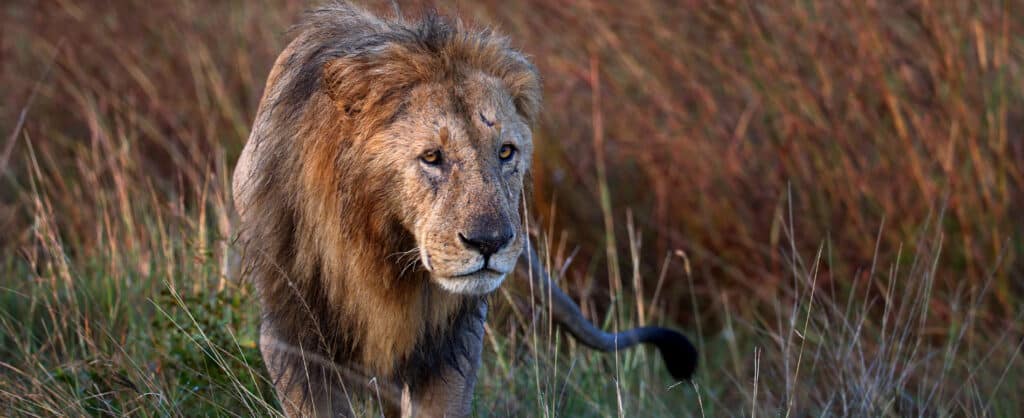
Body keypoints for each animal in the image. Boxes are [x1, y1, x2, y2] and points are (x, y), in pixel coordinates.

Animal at [231, 3, 697, 417]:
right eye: (431, 157)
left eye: (506, 152)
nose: (490, 243)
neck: (376, 254)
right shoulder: (291, 341)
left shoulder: (453, 341)